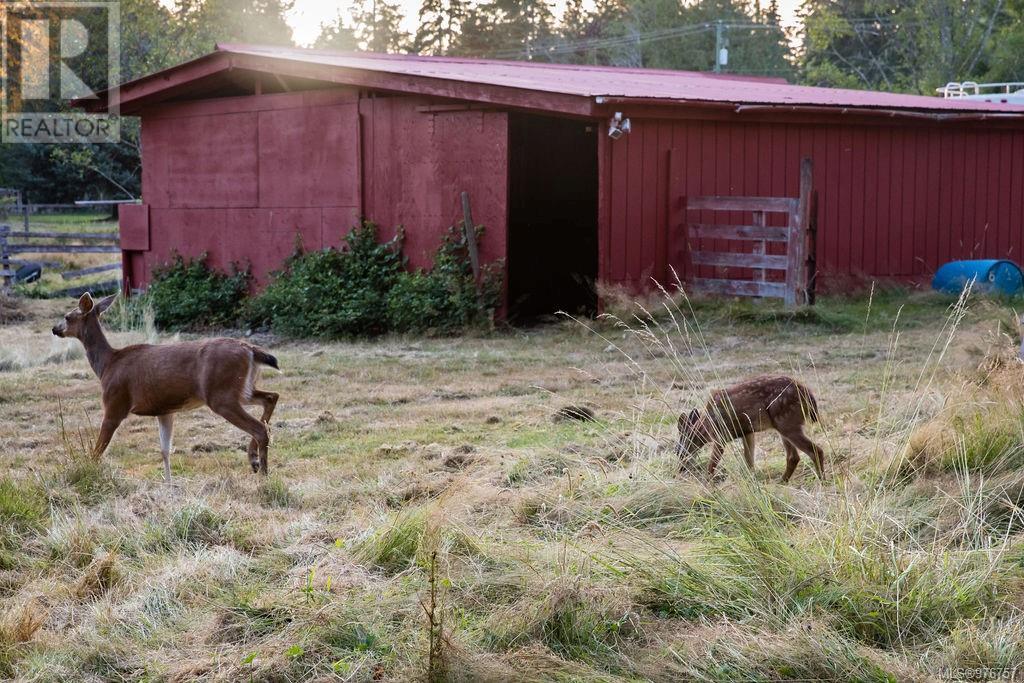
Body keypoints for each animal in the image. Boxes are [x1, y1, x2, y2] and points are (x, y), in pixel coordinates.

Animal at [51, 290, 280, 483]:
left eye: (67, 317)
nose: (54, 329)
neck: (107, 364)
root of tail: (250, 350)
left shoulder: (115, 403)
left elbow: (98, 448)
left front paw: (86, 471)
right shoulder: (164, 410)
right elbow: (165, 450)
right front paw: (168, 483)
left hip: (221, 395)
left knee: (260, 427)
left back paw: (263, 474)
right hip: (241, 389)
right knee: (271, 396)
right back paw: (254, 461)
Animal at [675, 376, 827, 483]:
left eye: (681, 441)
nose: (680, 467)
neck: (705, 426)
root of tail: (807, 393)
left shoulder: (720, 435)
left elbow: (712, 465)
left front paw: (706, 484)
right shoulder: (747, 432)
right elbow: (749, 461)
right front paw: (751, 481)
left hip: (787, 422)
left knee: (815, 450)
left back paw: (822, 480)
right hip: (783, 425)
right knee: (793, 457)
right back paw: (781, 481)